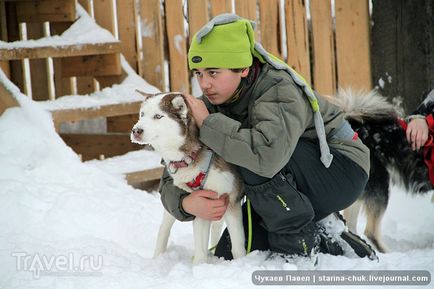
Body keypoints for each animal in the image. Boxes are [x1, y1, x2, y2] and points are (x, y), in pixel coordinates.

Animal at [131, 91, 246, 262]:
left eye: (158, 116)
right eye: (142, 115)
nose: (136, 130)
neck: (191, 155)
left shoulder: (231, 200)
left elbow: (238, 247)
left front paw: (242, 263)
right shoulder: (202, 203)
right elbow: (200, 249)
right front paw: (200, 265)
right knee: (164, 228)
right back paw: (158, 257)